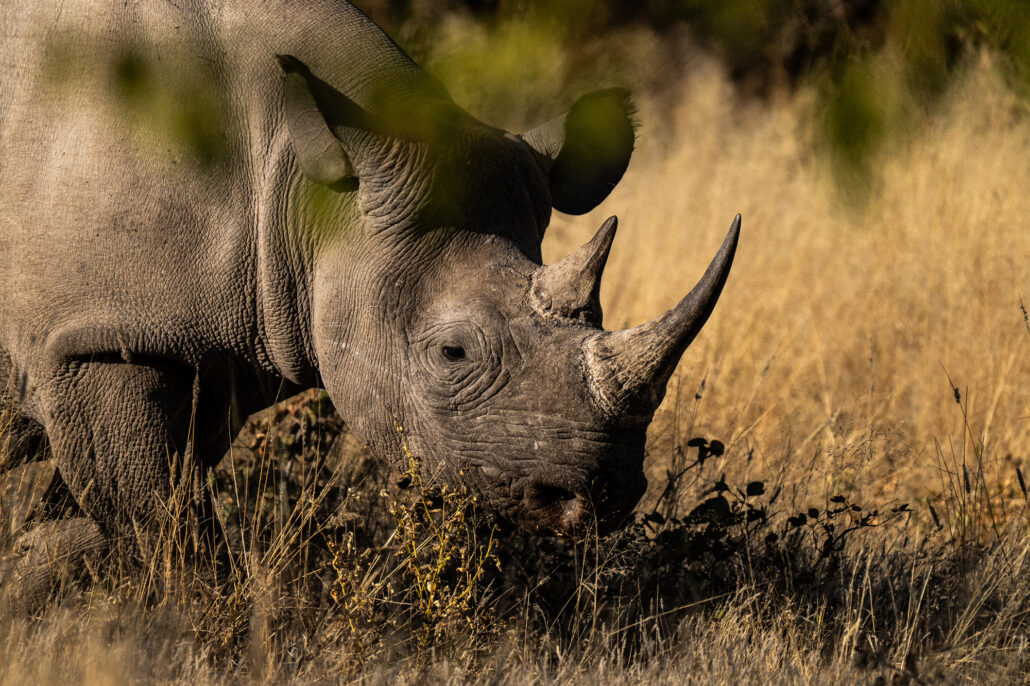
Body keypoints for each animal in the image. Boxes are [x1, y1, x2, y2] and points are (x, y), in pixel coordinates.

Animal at [0, 0, 738, 586]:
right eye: (451, 354)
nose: (600, 495)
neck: (299, 186)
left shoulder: (190, 349)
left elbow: (96, 524)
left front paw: (24, 590)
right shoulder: (97, 340)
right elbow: (168, 532)